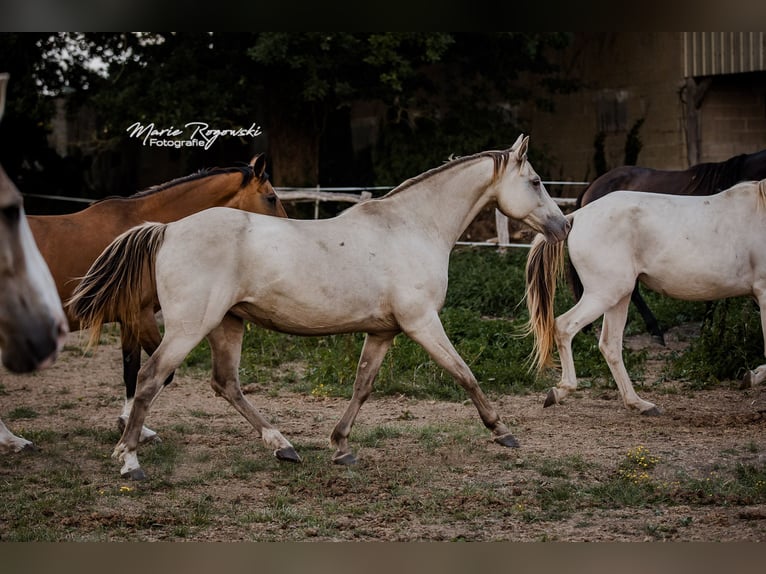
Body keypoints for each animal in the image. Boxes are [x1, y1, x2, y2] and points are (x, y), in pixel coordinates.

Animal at [29, 155, 287, 443]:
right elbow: (162, 374)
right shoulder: (141, 317)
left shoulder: (129, 320)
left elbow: (132, 371)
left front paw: (131, 426)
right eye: (271, 198)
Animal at [68, 134, 570, 480]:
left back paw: (283, 446)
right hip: (190, 327)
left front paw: (341, 446)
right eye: (536, 182)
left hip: (227, 325)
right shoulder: (421, 322)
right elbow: (463, 373)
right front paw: (502, 432)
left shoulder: (383, 331)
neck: (411, 227)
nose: (564, 225)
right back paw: (131, 461)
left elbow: (363, 386)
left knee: (225, 383)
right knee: (151, 378)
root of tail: (167, 229)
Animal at [525, 179, 766, 415]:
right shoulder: (763, 294)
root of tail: (576, 217)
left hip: (620, 297)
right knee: (564, 327)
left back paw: (638, 404)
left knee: (610, 344)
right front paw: (751, 378)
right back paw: (561, 391)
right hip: (603, 294)